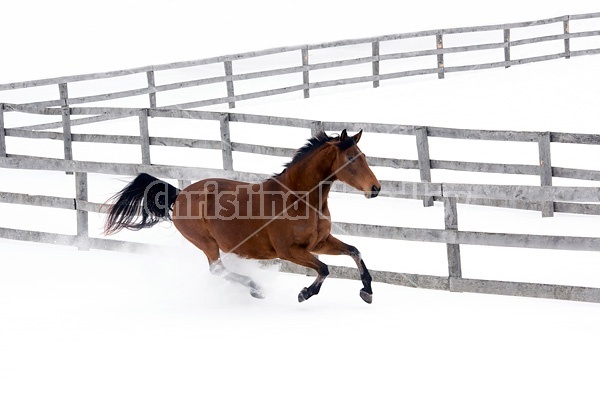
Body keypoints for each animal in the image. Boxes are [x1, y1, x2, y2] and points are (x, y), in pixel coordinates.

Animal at [104, 130, 380, 304]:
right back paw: (257, 289)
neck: (298, 200)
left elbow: (355, 251)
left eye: (364, 156)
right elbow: (324, 268)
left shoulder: (319, 243)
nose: (375, 188)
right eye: (351, 159)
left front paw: (366, 290)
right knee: (217, 269)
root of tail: (180, 194)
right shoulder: (289, 251)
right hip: (206, 243)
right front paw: (305, 293)